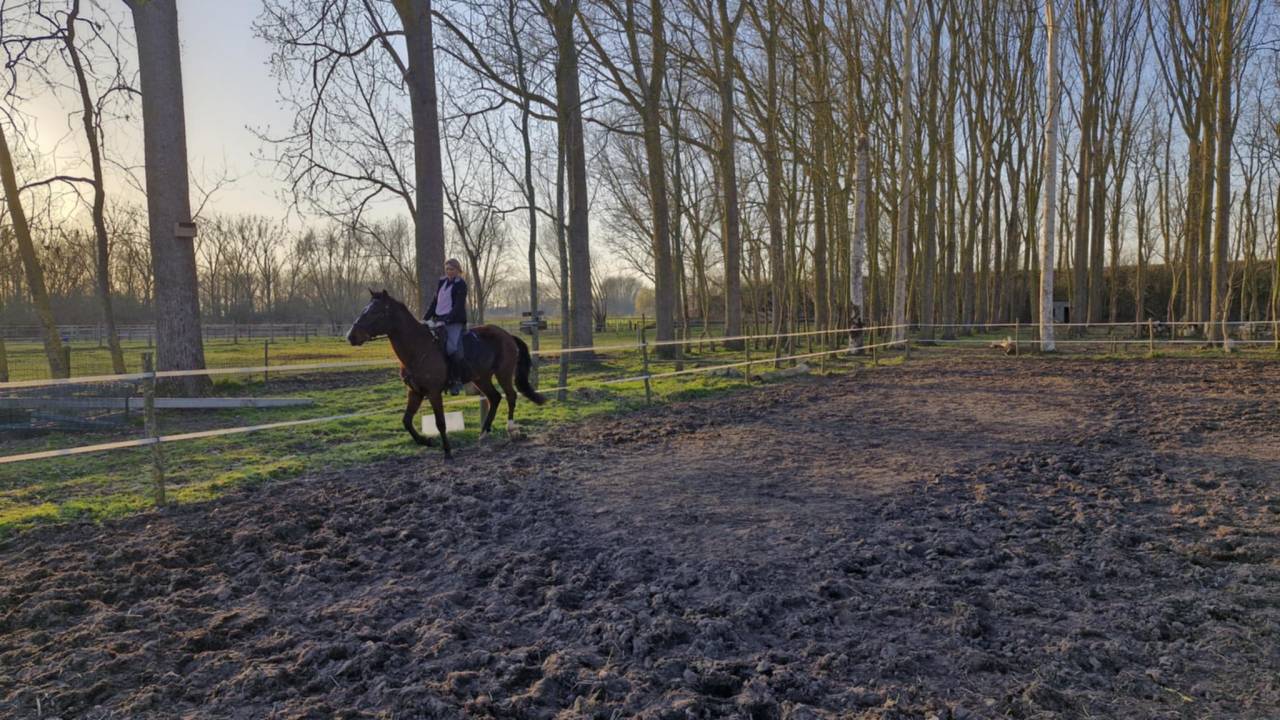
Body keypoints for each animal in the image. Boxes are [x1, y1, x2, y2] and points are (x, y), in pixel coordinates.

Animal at [346, 289, 546, 458]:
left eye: (375, 312)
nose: (351, 336)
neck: (419, 348)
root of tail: (507, 335)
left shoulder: (434, 392)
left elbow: (440, 422)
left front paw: (447, 451)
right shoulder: (415, 392)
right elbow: (406, 420)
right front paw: (426, 441)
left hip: (503, 373)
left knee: (510, 395)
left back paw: (511, 429)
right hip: (481, 378)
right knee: (494, 398)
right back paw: (483, 433)